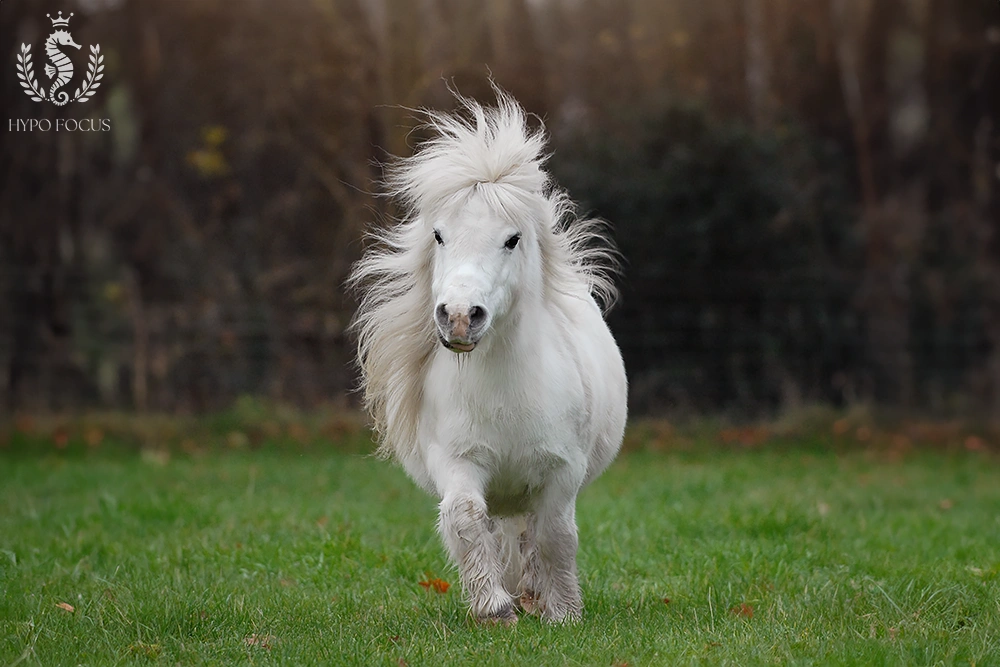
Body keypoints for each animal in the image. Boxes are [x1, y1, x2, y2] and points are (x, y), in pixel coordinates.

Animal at [350, 90, 624, 628]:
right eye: (438, 235)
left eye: (512, 238)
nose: (459, 317)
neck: (505, 390)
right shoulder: (457, 462)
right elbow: (465, 518)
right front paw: (494, 608)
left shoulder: (561, 473)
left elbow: (555, 535)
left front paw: (563, 613)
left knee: (529, 533)